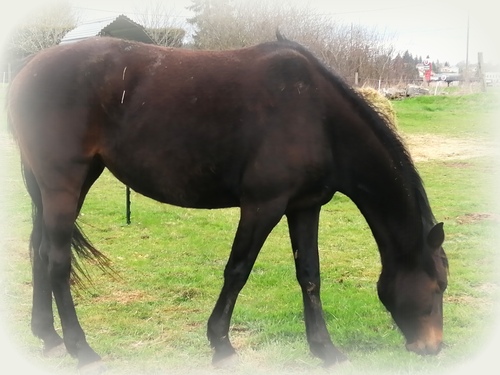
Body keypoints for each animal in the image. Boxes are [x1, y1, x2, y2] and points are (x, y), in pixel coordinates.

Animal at [5, 36, 448, 374]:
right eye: (437, 287)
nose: (433, 348)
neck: (317, 116)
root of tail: (27, 71)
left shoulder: (304, 207)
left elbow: (310, 275)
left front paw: (324, 348)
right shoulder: (263, 205)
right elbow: (237, 271)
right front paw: (220, 343)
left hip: (66, 186)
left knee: (40, 251)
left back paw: (48, 336)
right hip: (63, 184)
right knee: (57, 260)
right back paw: (81, 349)